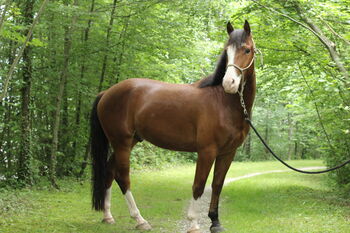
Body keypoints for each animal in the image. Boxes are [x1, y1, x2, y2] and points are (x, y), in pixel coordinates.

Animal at [89, 20, 256, 233]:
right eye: (227, 51)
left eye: (247, 50)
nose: (229, 83)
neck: (223, 101)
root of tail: (106, 93)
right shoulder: (207, 151)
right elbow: (199, 185)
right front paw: (193, 223)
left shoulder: (228, 153)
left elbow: (217, 184)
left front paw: (215, 222)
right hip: (121, 143)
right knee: (123, 177)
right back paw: (140, 219)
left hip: (129, 141)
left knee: (110, 172)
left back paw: (108, 216)